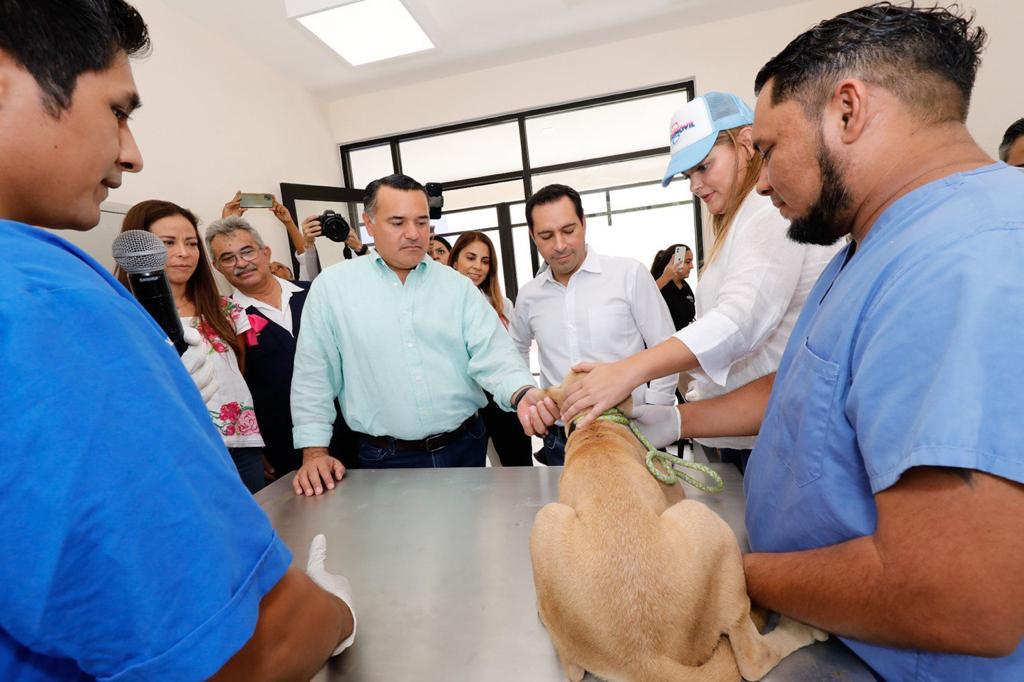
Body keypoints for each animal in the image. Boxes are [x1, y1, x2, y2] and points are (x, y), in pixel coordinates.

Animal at [528, 372, 823, 679]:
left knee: (571, 667)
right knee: (753, 657)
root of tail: (645, 658)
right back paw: (800, 629)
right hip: (703, 523)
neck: (596, 427)